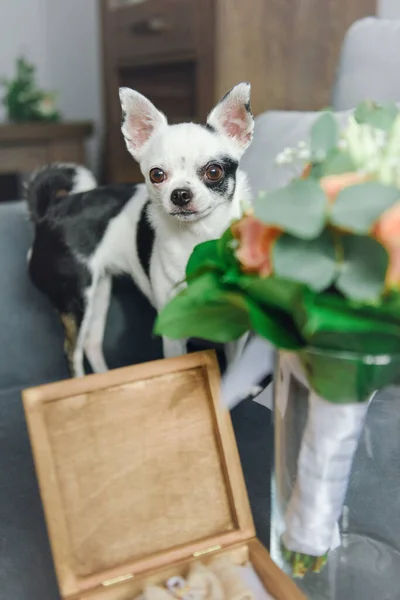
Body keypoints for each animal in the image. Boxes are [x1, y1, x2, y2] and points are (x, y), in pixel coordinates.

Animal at [26, 82, 255, 378]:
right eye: (156, 175)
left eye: (214, 171)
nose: (180, 194)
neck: (197, 236)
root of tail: (48, 213)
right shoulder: (173, 333)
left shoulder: (236, 333)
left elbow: (235, 371)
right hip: (75, 298)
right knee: (73, 352)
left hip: (99, 292)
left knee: (91, 343)